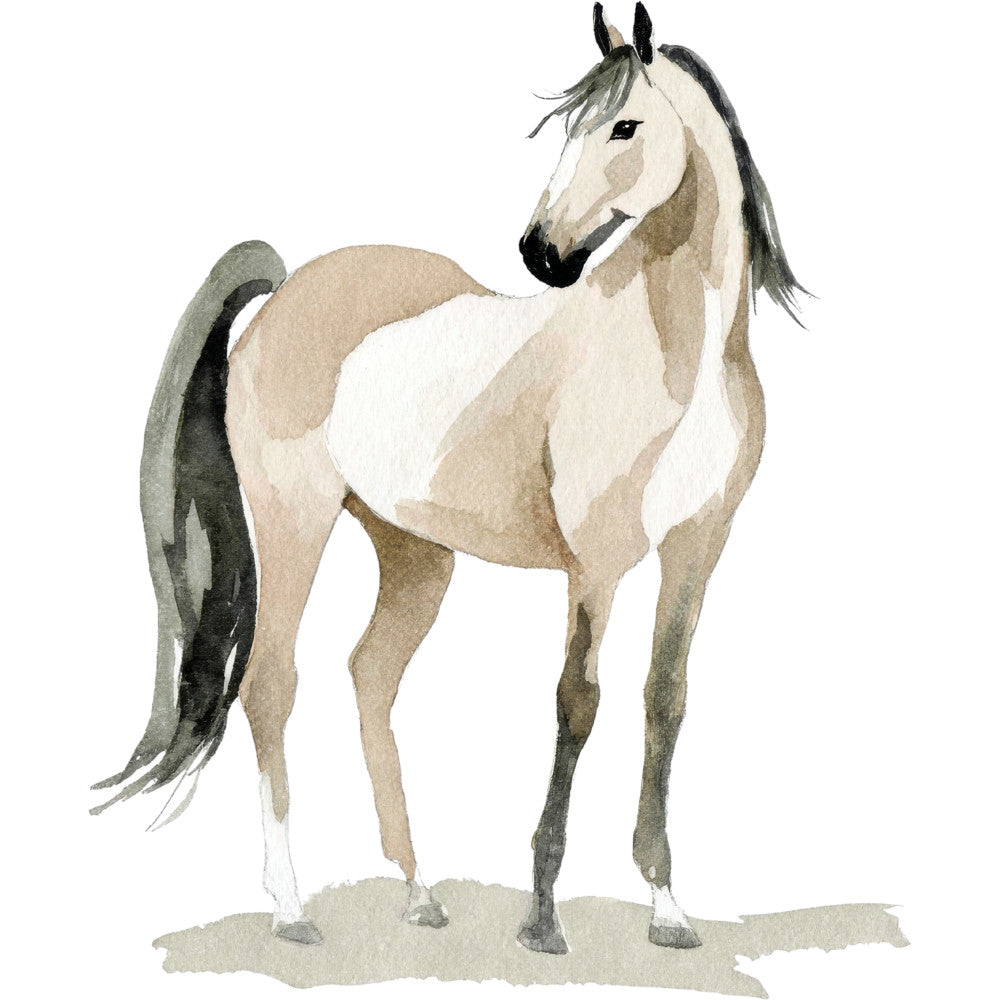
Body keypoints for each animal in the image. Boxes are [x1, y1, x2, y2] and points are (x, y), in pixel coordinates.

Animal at [93, 2, 807, 955]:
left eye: (623, 125)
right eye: (567, 127)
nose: (541, 253)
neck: (674, 354)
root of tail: (286, 290)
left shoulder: (696, 551)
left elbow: (665, 701)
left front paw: (665, 905)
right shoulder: (598, 561)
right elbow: (577, 701)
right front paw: (542, 915)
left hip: (414, 552)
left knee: (370, 676)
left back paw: (419, 891)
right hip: (295, 524)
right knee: (272, 682)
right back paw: (291, 906)